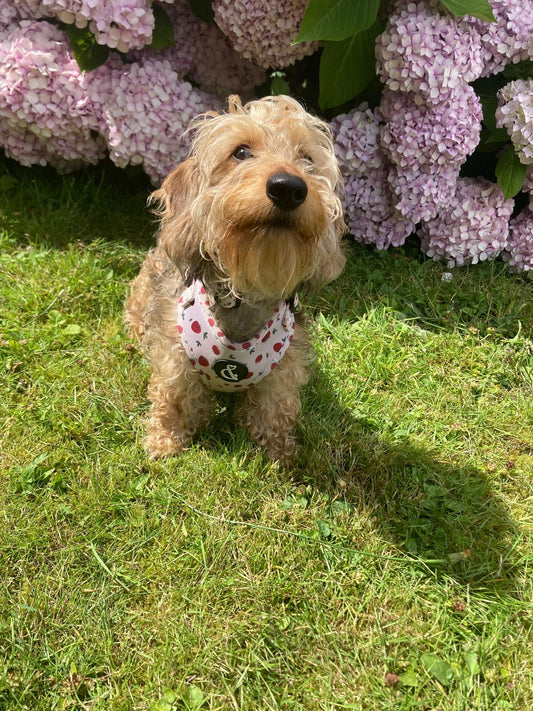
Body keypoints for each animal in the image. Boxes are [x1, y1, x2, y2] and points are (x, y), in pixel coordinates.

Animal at [127, 94, 348, 462]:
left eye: (307, 160)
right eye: (241, 152)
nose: (288, 187)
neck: (244, 295)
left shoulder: (282, 372)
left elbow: (274, 409)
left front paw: (278, 451)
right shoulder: (174, 360)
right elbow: (173, 399)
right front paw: (165, 441)